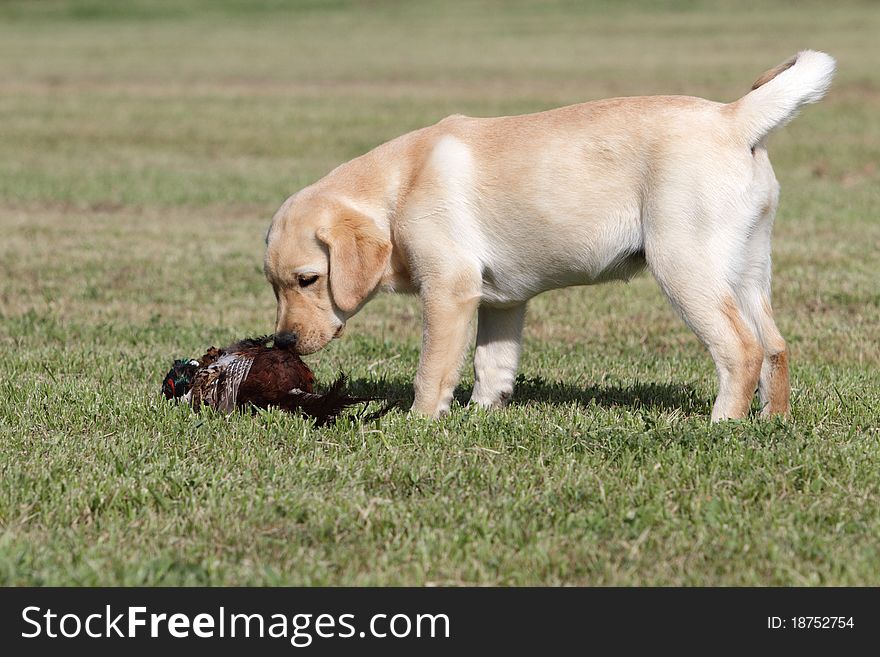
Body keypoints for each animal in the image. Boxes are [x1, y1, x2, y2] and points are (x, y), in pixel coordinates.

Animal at [264, 51, 836, 420]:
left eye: (308, 280)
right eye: (274, 287)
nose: (282, 342)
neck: (396, 188)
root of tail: (734, 119)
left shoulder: (449, 291)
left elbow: (433, 369)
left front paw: (419, 424)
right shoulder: (501, 303)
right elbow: (492, 366)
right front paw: (482, 417)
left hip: (685, 266)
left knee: (742, 349)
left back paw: (723, 425)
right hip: (749, 270)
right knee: (776, 346)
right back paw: (772, 421)